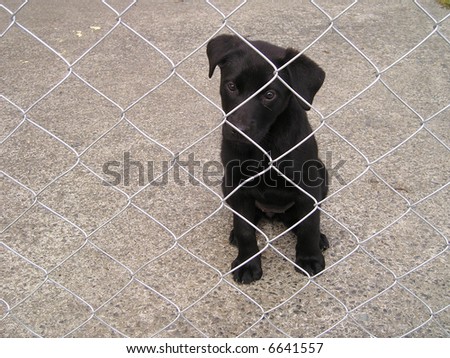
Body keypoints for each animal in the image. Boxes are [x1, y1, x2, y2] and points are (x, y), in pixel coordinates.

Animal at [207, 35, 326, 284]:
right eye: (231, 86)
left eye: (269, 95)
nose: (238, 131)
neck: (264, 145)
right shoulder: (237, 186)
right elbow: (244, 228)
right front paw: (247, 263)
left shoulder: (308, 185)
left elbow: (309, 224)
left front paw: (309, 258)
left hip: (323, 174)